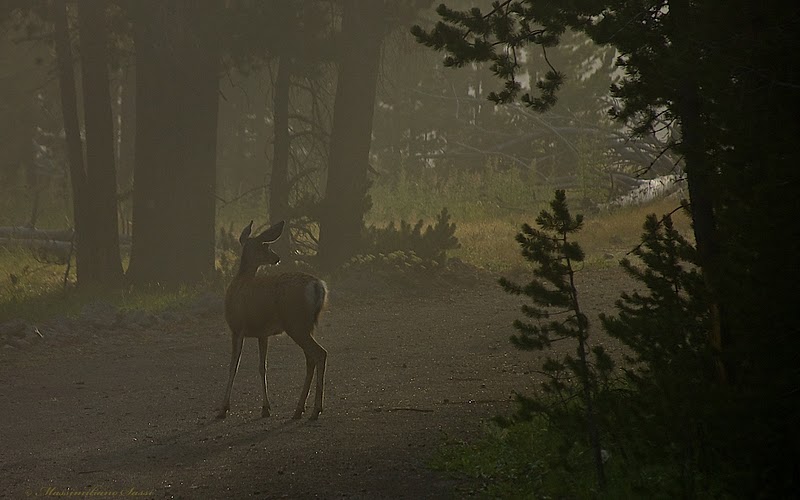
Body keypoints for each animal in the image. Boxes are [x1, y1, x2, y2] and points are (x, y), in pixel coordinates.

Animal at [216, 221, 328, 420]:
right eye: (265, 246)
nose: (276, 258)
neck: (240, 281)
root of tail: (318, 286)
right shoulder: (263, 333)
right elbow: (262, 366)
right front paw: (265, 407)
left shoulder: (237, 328)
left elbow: (233, 366)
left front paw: (223, 408)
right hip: (305, 326)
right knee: (311, 358)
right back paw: (299, 409)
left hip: (295, 323)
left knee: (320, 354)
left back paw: (315, 410)